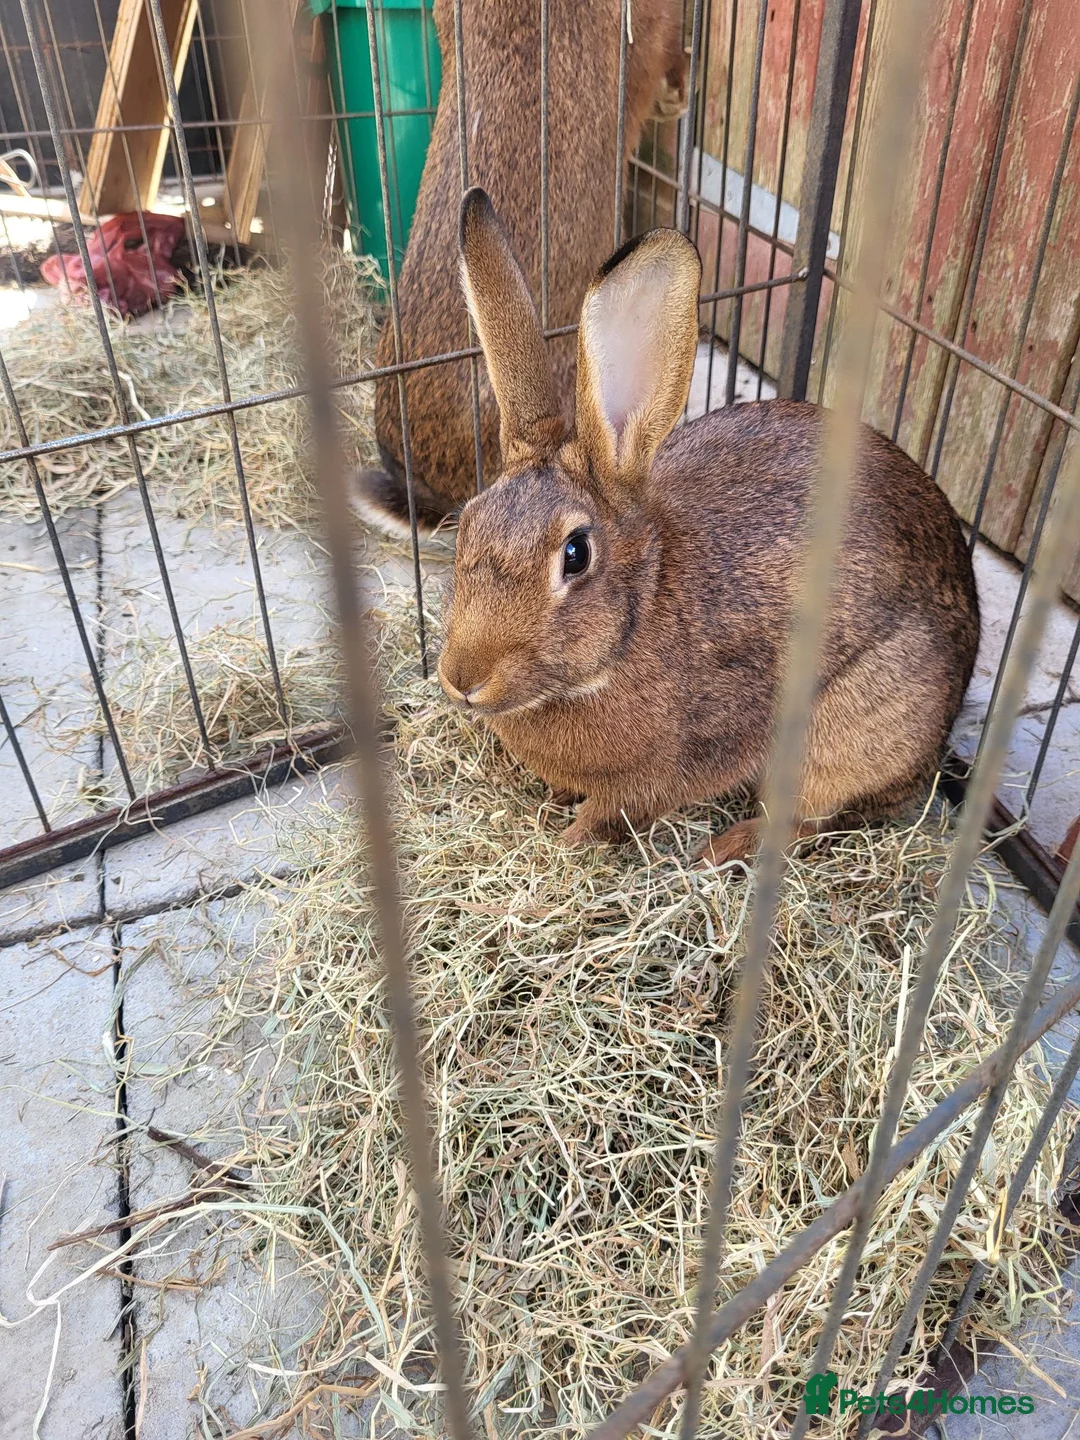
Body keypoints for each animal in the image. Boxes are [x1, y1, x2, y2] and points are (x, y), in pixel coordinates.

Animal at [435, 188, 981, 866]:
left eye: (575, 554)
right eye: (468, 525)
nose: (462, 678)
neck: (636, 622)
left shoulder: (675, 762)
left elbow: (615, 812)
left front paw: (568, 841)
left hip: (847, 736)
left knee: (814, 818)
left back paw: (724, 849)